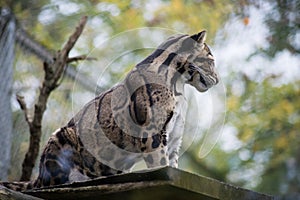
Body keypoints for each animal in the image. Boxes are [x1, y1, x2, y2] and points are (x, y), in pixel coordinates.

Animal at [1, 29, 218, 191]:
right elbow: (160, 164)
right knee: (50, 182)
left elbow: (172, 166)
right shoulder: (153, 134)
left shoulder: (173, 138)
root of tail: (36, 176)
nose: (217, 80)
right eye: (210, 61)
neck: (179, 86)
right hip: (60, 136)